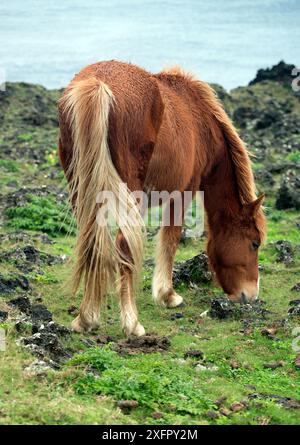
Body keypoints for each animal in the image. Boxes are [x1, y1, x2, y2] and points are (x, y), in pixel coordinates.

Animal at [58, 59, 264, 336]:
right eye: (255, 243)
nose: (250, 295)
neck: (200, 121)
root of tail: (97, 85)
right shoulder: (184, 191)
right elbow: (170, 239)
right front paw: (168, 295)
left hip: (83, 192)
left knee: (91, 240)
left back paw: (86, 318)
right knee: (123, 244)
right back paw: (132, 323)